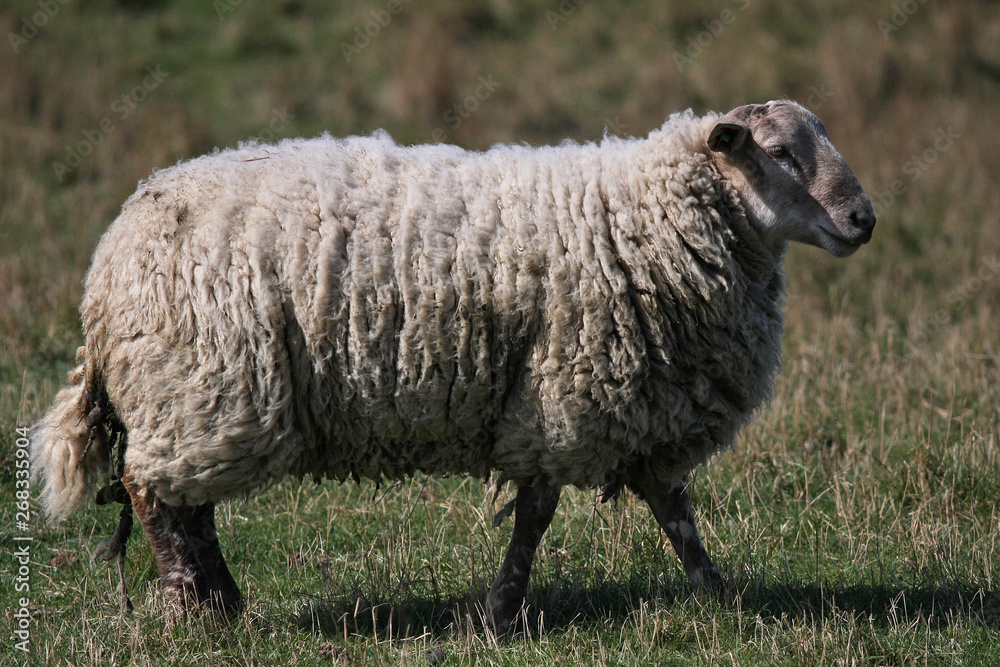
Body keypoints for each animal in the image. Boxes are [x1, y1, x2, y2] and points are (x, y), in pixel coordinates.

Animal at [31, 99, 876, 632]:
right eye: (780, 153)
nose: (864, 218)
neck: (652, 213)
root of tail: (110, 255)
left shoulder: (635, 406)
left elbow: (675, 511)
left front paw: (719, 593)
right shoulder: (563, 396)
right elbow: (538, 514)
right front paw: (502, 612)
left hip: (201, 399)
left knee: (186, 503)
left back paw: (223, 604)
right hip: (205, 388)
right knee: (158, 497)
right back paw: (195, 613)